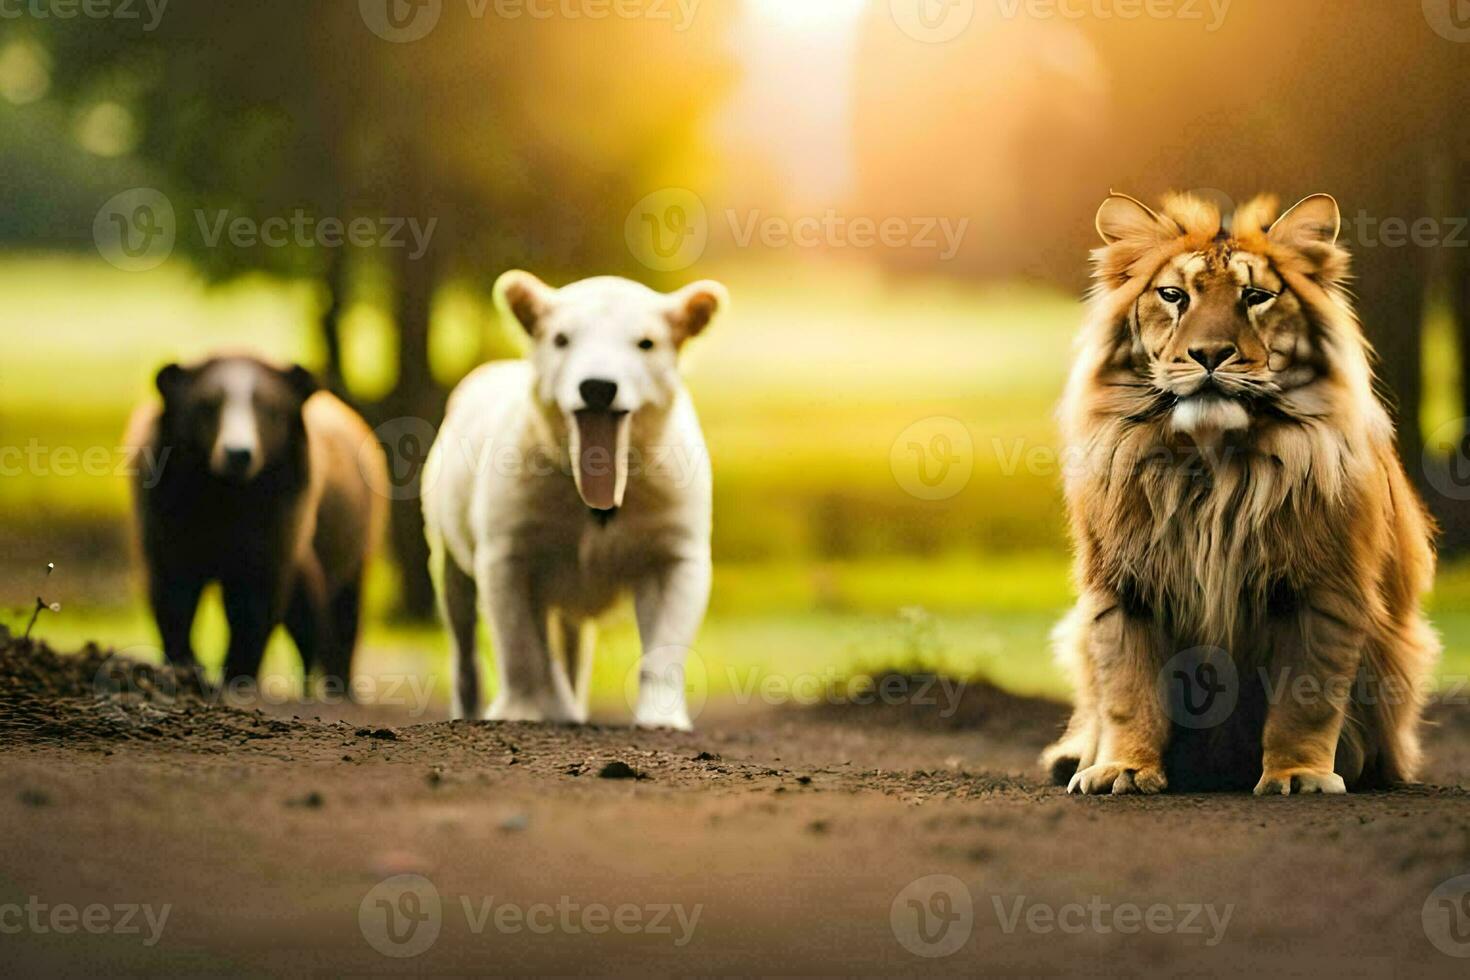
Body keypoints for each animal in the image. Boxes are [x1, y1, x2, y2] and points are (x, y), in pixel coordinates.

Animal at [126, 357, 388, 693]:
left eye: (270, 408)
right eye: (207, 404)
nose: (238, 453)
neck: (227, 499)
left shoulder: (278, 527)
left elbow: (254, 605)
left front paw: (236, 676)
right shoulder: (164, 519)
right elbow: (174, 595)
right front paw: (186, 667)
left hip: (354, 544)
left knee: (339, 620)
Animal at [423, 268, 726, 728]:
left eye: (646, 343)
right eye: (561, 339)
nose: (598, 387)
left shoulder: (675, 544)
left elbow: (667, 640)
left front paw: (662, 718)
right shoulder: (507, 546)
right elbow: (519, 642)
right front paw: (524, 709)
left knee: (570, 636)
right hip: (448, 547)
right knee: (464, 629)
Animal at [1040, 191, 1440, 799]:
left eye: (1255, 297)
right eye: (1173, 296)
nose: (1210, 354)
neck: (1212, 465)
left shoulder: (1324, 589)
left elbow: (1306, 698)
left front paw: (1299, 775)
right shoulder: (1121, 587)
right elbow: (1128, 693)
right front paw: (1123, 769)